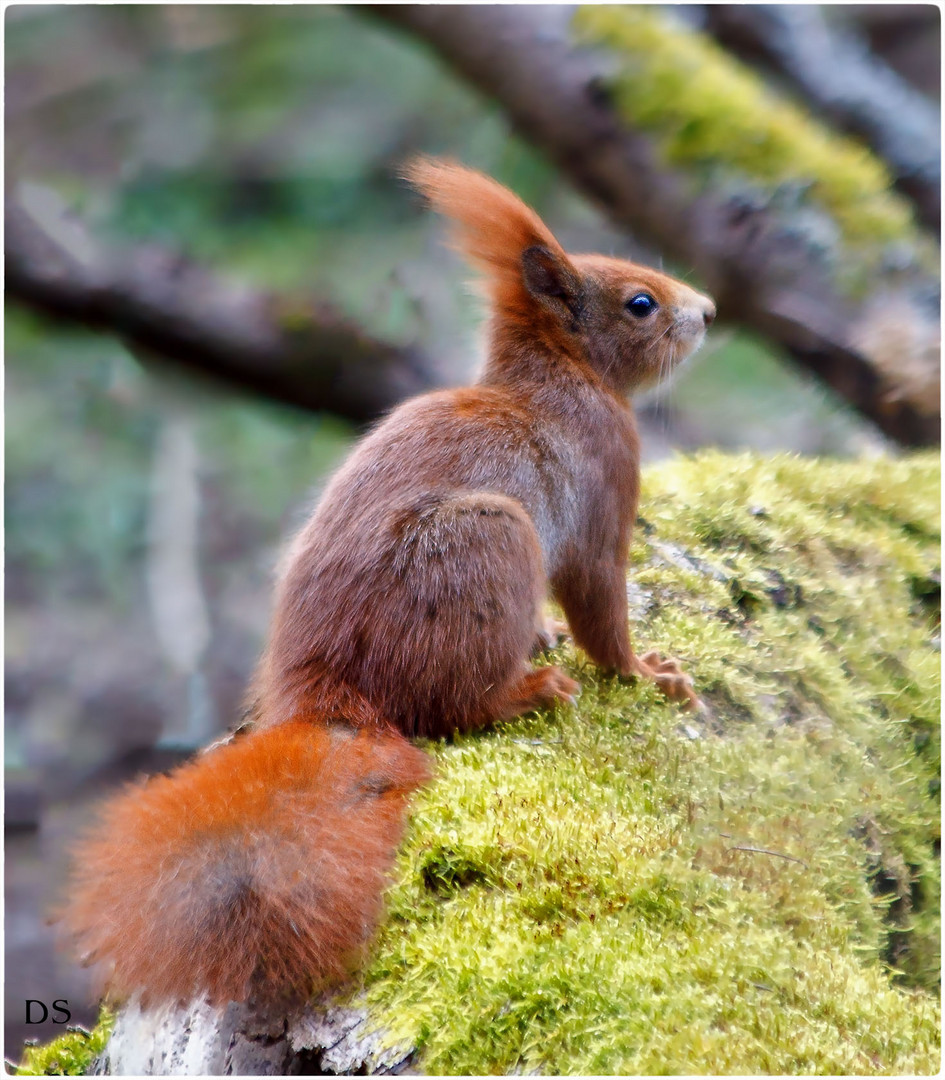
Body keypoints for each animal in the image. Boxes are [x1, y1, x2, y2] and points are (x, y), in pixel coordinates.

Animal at [64, 156, 717, 1006]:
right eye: (640, 303)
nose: (708, 311)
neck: (562, 379)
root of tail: (329, 693)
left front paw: (561, 636)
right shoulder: (604, 491)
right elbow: (599, 605)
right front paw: (647, 672)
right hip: (488, 539)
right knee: (449, 709)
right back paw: (526, 691)